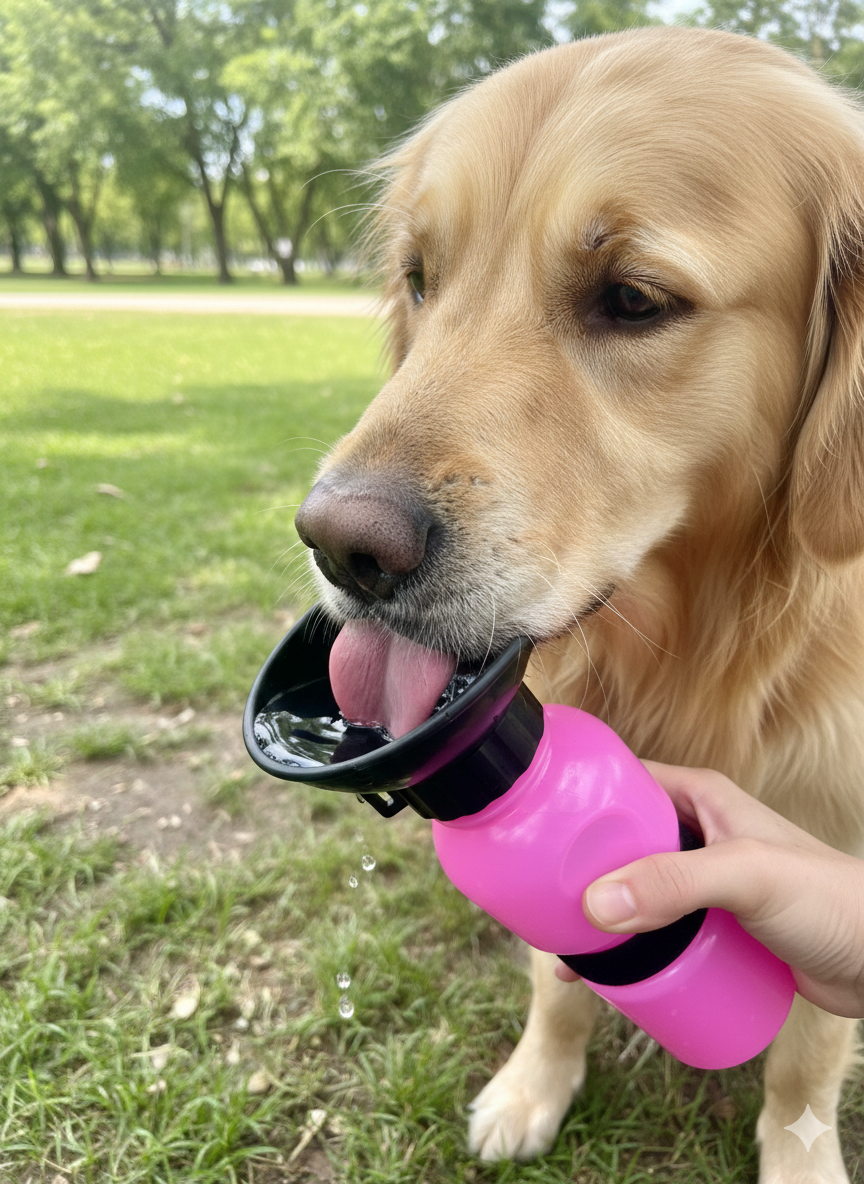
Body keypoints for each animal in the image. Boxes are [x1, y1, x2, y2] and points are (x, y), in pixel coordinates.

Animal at [293, 27, 864, 1182]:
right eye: (420, 279)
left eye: (634, 298)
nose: (339, 545)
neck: (696, 644)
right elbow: (558, 980)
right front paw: (534, 1087)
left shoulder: (830, 837)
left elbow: (805, 1057)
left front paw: (802, 1155)